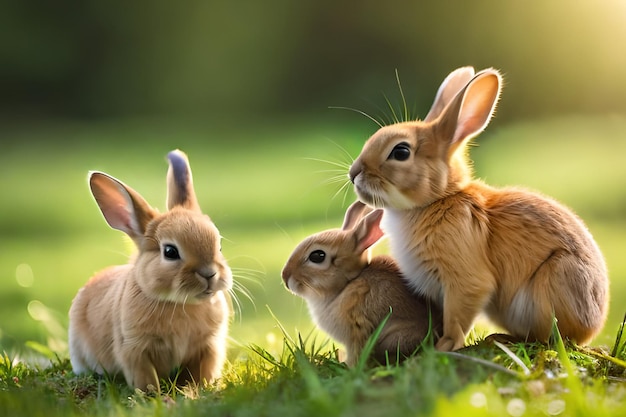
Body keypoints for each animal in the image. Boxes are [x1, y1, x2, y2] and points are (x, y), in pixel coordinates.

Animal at [68, 150, 233, 390]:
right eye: (170, 252)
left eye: (219, 246)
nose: (209, 274)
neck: (179, 303)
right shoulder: (134, 348)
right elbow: (145, 376)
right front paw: (152, 394)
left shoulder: (209, 345)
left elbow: (200, 372)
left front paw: (195, 389)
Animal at [280, 200, 442, 366]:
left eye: (317, 256)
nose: (285, 277)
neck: (346, 286)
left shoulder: (357, 330)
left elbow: (356, 353)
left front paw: (349, 366)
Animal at [346, 66, 604, 352]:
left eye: (401, 152)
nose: (353, 173)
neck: (439, 199)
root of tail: (591, 327)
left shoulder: (464, 282)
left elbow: (456, 318)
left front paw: (443, 347)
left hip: (553, 283)